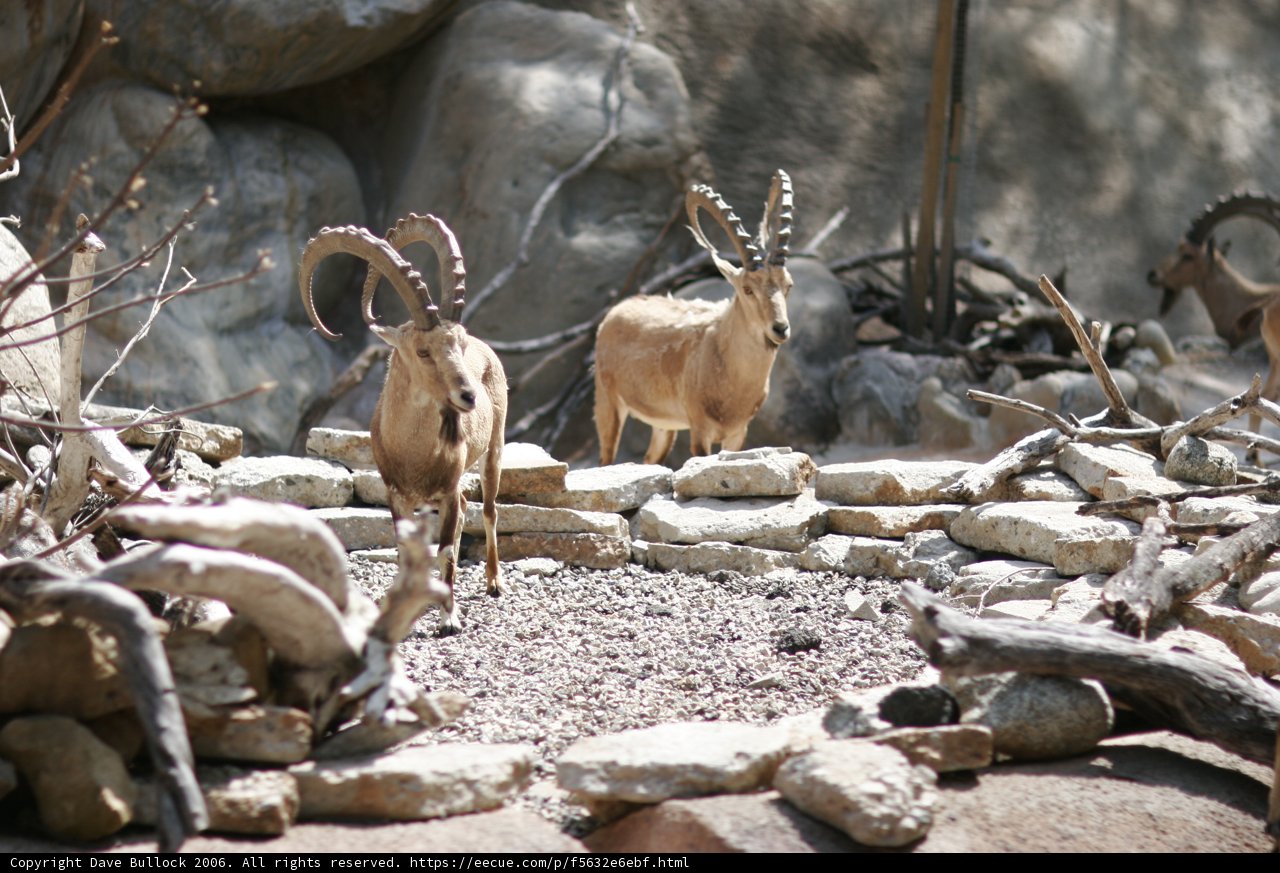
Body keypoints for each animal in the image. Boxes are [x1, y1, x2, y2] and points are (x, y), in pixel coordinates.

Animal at [299, 215, 507, 634]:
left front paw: (449, 618)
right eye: (423, 350)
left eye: (458, 346)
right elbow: (405, 549)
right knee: (470, 508)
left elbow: (445, 550)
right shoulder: (396, 493)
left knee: (490, 510)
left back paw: (494, 582)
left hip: (494, 448)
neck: (414, 453)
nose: (469, 397)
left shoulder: (446, 491)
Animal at [594, 170, 795, 465]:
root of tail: (617, 311)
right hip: (608, 401)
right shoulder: (700, 428)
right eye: (747, 289)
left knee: (650, 459)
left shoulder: (737, 433)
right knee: (605, 457)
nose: (780, 328)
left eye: (788, 285)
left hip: (664, 425)